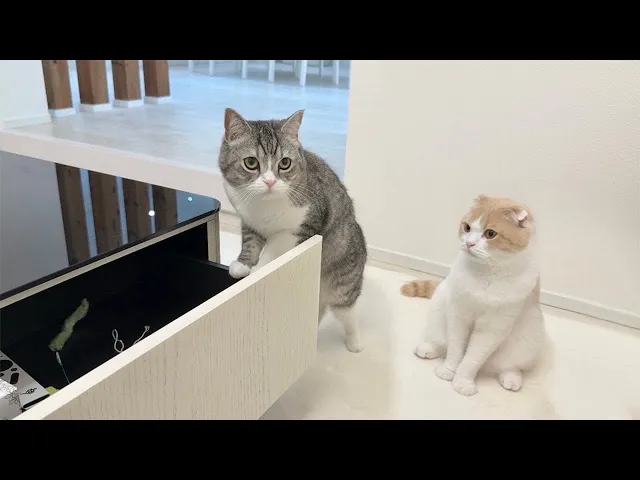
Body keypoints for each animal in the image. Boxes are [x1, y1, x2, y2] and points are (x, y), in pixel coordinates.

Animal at [218, 108, 368, 353]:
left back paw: (355, 342)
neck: (264, 205)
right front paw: (243, 264)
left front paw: (259, 269)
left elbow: (275, 246)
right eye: (251, 162)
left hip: (344, 281)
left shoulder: (304, 226)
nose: (269, 181)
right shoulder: (249, 222)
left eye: (285, 163)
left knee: (347, 311)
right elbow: (250, 243)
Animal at [408, 194, 547, 396]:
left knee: (510, 366)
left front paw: (462, 382)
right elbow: (455, 348)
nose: (469, 243)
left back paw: (511, 379)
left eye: (490, 233)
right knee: (441, 341)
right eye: (467, 227)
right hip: (439, 304)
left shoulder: (492, 329)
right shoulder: (458, 315)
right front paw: (448, 371)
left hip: (531, 334)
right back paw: (428, 348)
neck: (486, 275)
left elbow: (472, 359)